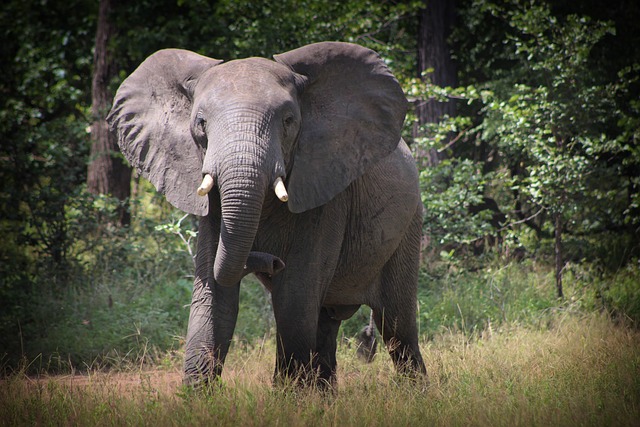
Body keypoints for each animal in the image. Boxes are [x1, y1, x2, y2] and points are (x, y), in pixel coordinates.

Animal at [107, 41, 428, 390]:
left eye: (288, 120)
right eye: (201, 123)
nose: (271, 260)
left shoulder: (324, 194)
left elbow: (294, 297)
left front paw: (288, 396)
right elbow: (214, 294)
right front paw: (196, 396)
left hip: (409, 224)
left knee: (396, 324)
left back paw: (415, 392)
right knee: (327, 322)